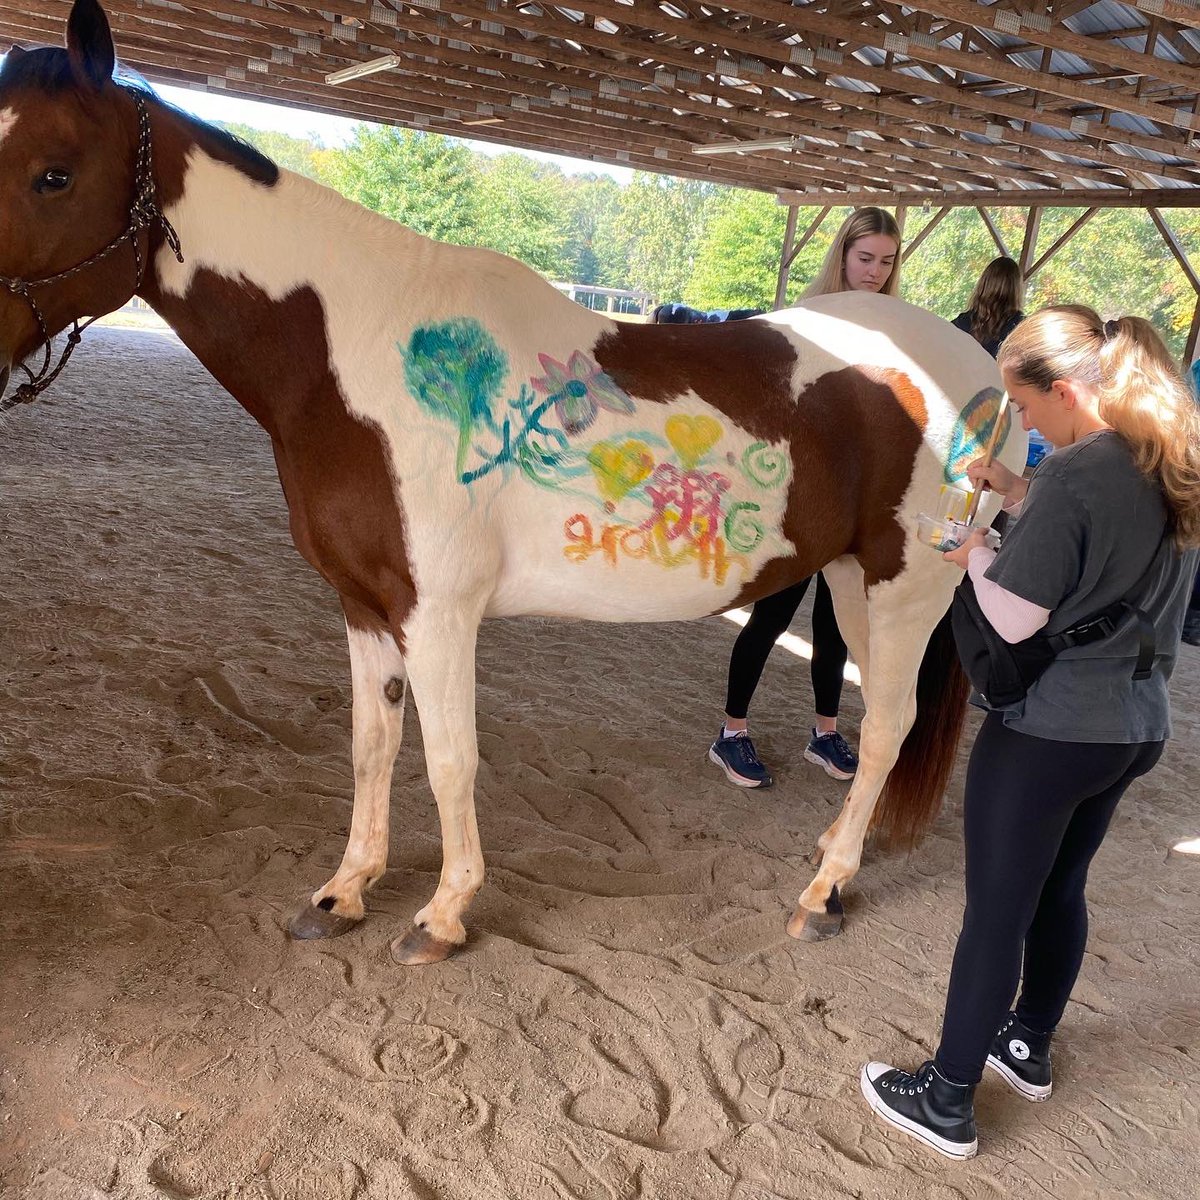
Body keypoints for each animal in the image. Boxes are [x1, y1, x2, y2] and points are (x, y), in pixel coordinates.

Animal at [0, 0, 1025, 965]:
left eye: (54, 172)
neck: (353, 352)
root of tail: (974, 366)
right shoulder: (365, 605)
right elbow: (373, 748)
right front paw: (344, 892)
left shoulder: (439, 614)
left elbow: (451, 760)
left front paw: (443, 914)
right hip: (851, 580)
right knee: (879, 722)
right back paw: (829, 857)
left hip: (905, 588)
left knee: (888, 726)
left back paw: (823, 893)